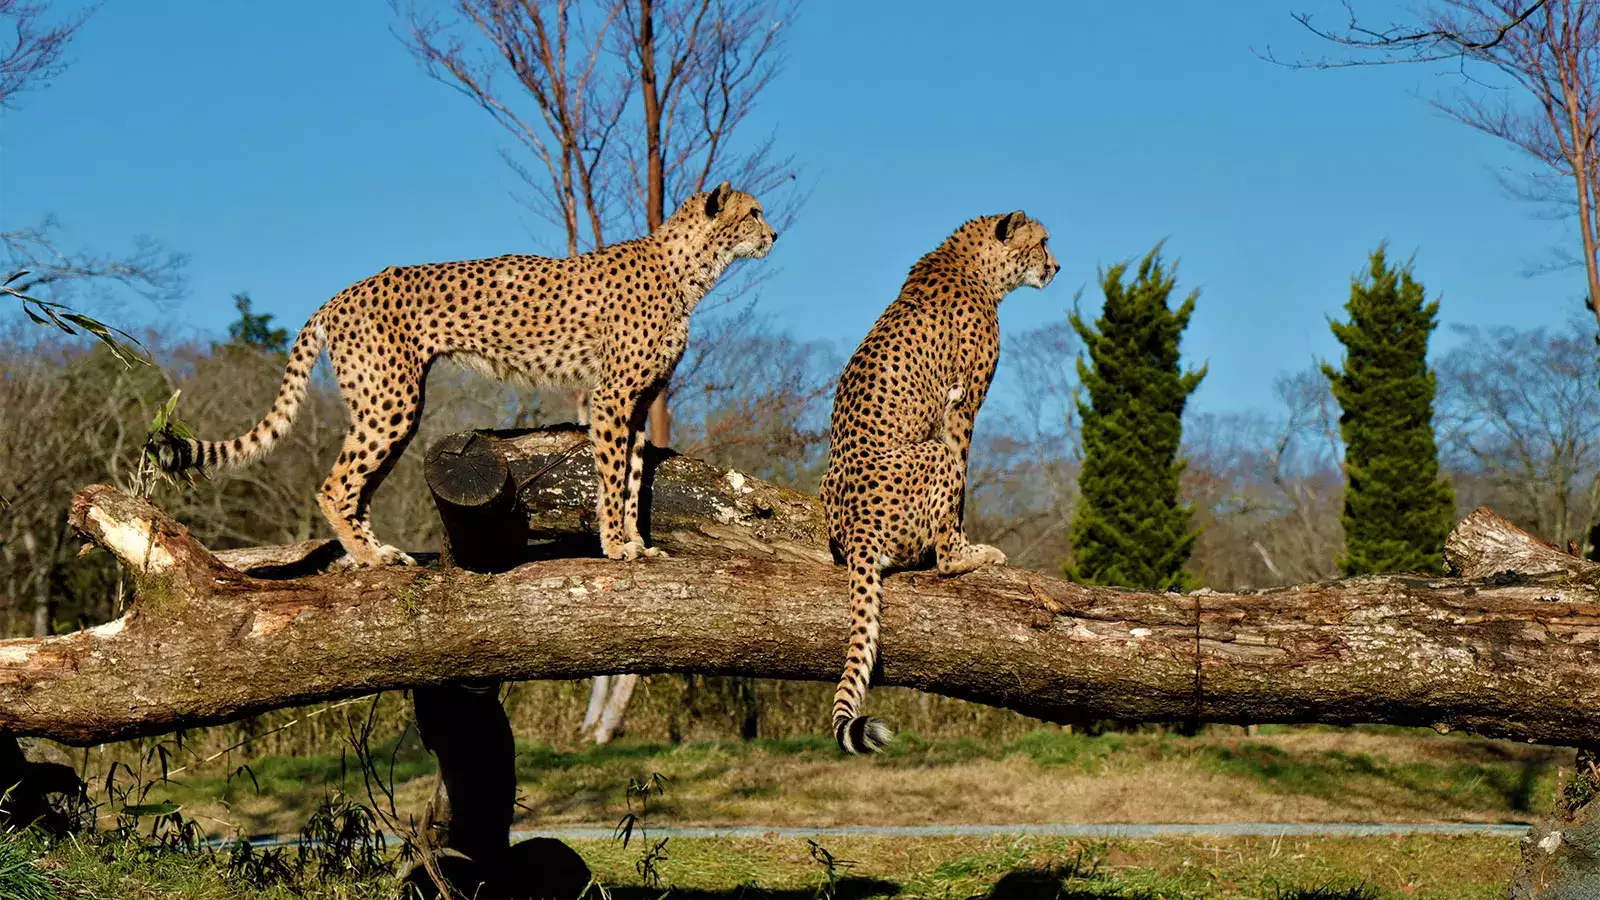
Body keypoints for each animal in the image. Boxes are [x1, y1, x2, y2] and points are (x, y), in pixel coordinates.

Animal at [152, 178, 777, 563]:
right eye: (753, 213)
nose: (774, 235)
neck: (688, 269)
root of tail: (340, 294)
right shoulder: (612, 397)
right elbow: (610, 474)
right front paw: (615, 546)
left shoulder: (641, 401)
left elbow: (632, 477)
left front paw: (637, 544)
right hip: (392, 402)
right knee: (335, 485)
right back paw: (369, 557)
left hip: (391, 407)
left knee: (358, 487)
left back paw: (377, 552)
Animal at [819, 209, 1056, 749]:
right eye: (1042, 242)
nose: (1056, 266)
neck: (974, 264)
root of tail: (856, 529)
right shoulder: (962, 407)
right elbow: (962, 489)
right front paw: (968, 541)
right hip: (932, 453)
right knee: (943, 559)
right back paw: (975, 555)